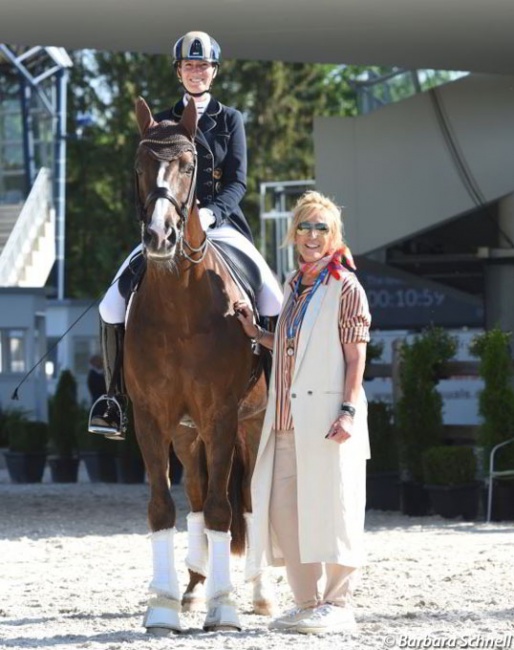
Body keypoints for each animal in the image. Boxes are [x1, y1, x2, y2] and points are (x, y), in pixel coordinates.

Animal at [122, 97, 272, 632]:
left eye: (190, 165)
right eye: (139, 166)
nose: (159, 237)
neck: (180, 306)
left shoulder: (221, 416)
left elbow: (224, 509)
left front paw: (225, 607)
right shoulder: (152, 417)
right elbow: (163, 507)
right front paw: (164, 606)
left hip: (253, 424)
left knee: (246, 500)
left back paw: (259, 593)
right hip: (188, 435)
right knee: (196, 495)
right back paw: (192, 587)